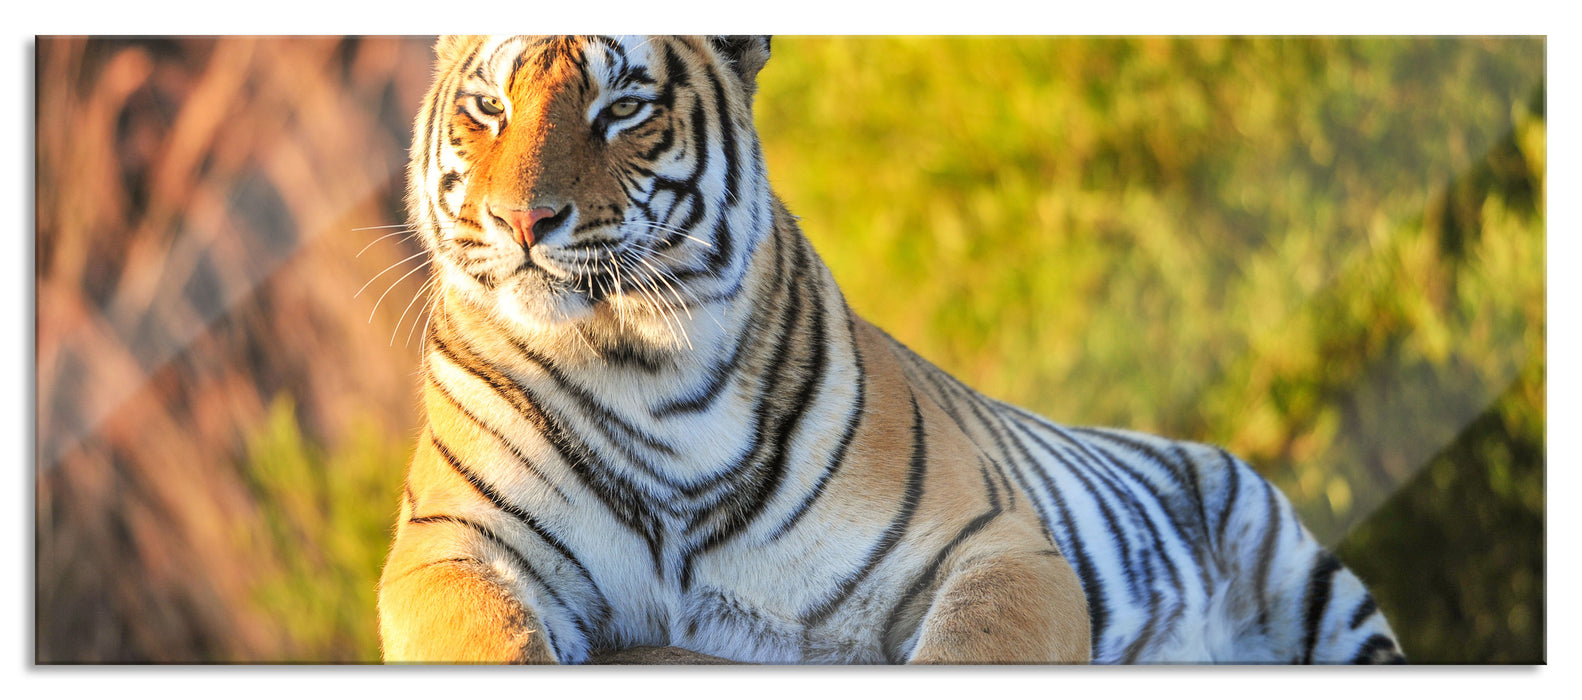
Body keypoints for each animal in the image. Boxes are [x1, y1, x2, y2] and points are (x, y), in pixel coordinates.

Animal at [376, 35, 1406, 665]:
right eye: (488, 109)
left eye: (621, 107)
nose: (521, 221)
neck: (638, 366)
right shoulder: (445, 550)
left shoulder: (990, 543)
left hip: (1309, 587)